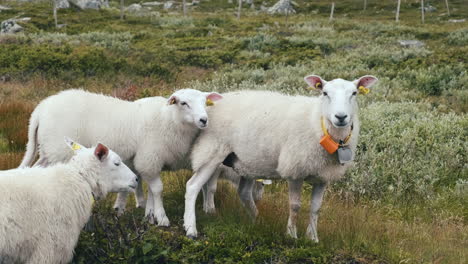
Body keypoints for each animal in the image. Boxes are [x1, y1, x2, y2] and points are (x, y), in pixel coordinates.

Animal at [18, 88, 223, 227]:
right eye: (183, 103)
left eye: (205, 103)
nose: (204, 120)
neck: (168, 119)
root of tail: (40, 110)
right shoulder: (149, 158)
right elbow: (157, 189)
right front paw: (161, 217)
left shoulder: (148, 162)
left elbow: (149, 189)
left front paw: (149, 215)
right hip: (58, 151)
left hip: (48, 151)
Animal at [183, 75, 376, 241]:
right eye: (325, 93)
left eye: (354, 93)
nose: (341, 117)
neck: (318, 123)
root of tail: (211, 103)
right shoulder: (295, 170)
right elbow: (295, 205)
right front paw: (291, 235)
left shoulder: (323, 176)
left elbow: (316, 208)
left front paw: (313, 238)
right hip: (211, 151)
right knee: (192, 187)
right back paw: (191, 228)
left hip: (245, 162)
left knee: (243, 193)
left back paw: (256, 219)